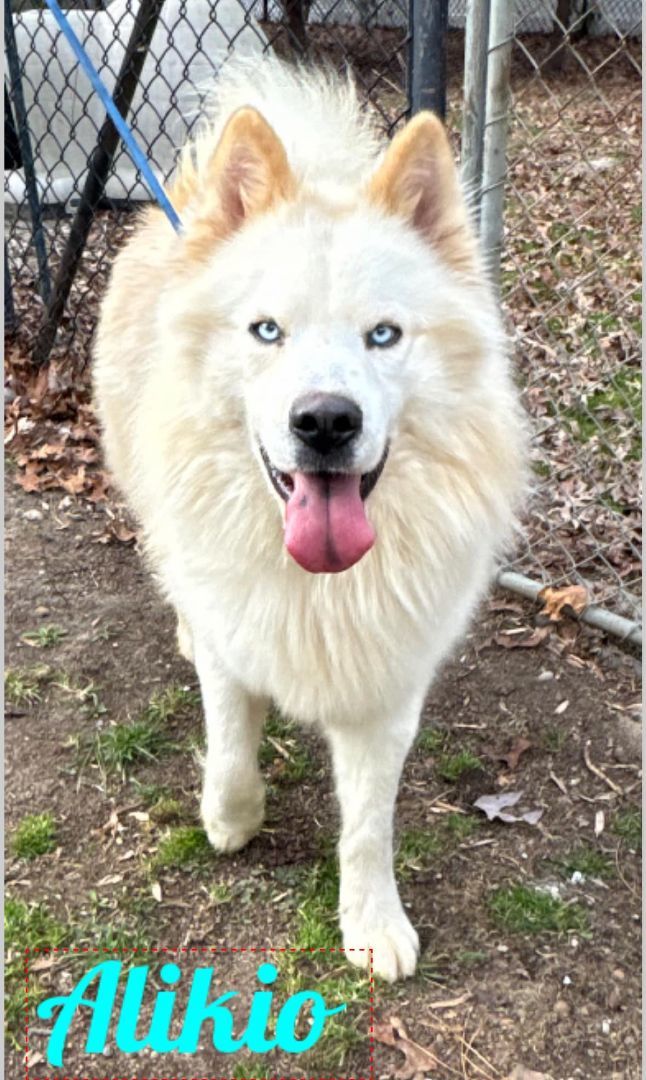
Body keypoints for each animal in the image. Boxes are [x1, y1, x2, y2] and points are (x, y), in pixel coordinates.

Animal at [93, 56, 529, 980]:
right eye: (267, 331)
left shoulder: (386, 690)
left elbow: (368, 826)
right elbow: (230, 750)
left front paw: (372, 924)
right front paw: (231, 821)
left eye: (383, 336)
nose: (325, 422)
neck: (318, 580)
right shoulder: (235, 647)